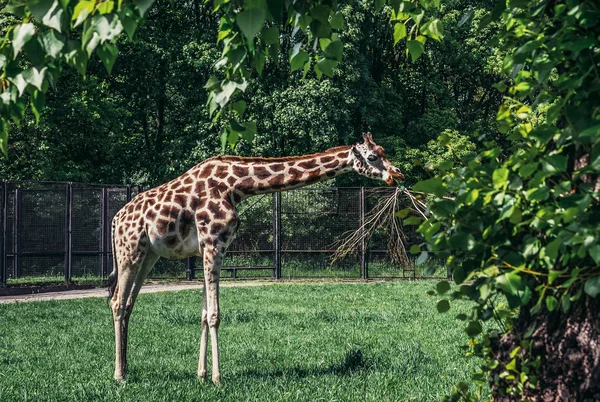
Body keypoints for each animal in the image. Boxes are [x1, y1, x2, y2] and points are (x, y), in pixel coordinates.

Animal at [107, 133, 404, 384]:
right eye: (372, 157)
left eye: (382, 151)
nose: (396, 174)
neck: (236, 186)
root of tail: (115, 220)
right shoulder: (213, 243)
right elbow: (214, 315)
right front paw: (217, 378)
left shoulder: (210, 248)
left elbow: (203, 314)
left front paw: (201, 375)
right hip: (129, 251)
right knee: (117, 302)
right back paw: (119, 376)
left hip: (149, 255)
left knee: (129, 303)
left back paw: (126, 368)